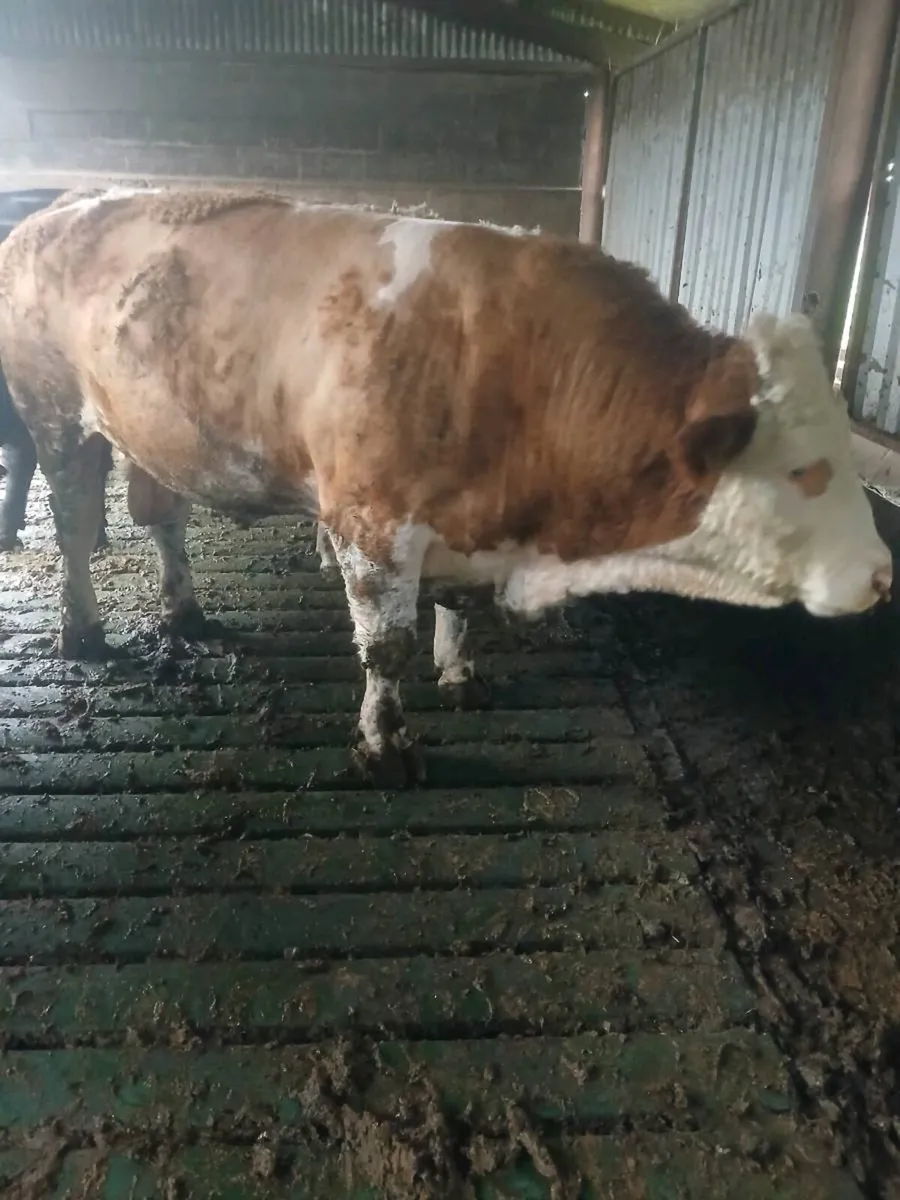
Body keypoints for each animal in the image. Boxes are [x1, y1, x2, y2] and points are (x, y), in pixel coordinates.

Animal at [0, 186, 891, 788]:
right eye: (801, 471)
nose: (882, 575)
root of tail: (60, 207)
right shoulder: (370, 521)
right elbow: (385, 646)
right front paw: (385, 744)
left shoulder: (467, 522)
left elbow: (461, 610)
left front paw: (460, 675)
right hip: (54, 418)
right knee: (73, 522)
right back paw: (83, 631)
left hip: (157, 433)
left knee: (163, 518)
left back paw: (184, 612)